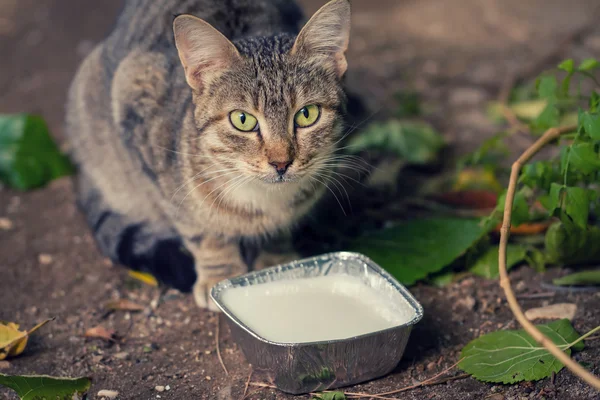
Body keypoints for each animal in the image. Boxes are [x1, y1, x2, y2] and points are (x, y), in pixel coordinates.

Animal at [67, 0, 352, 310]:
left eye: (307, 114)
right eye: (242, 120)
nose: (281, 163)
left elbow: (278, 232)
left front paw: (278, 265)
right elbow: (202, 232)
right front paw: (220, 273)